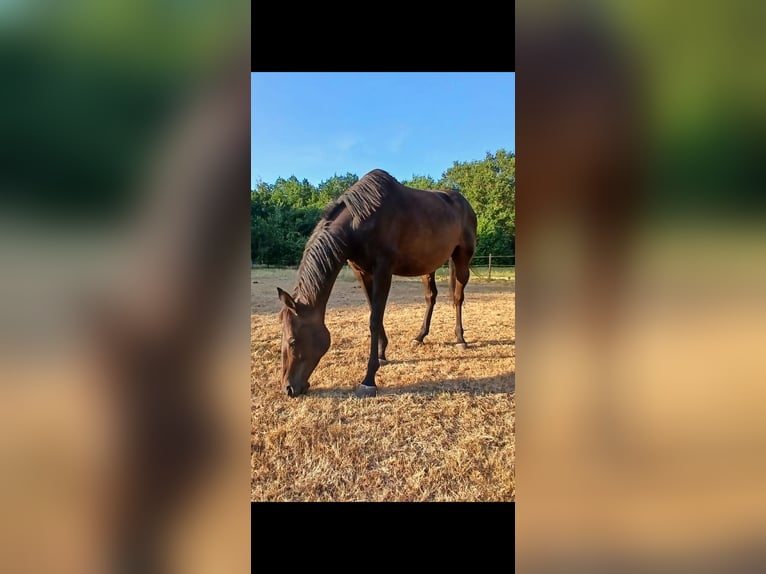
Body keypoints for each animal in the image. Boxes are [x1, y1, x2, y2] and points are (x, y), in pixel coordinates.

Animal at [277, 169, 478, 398]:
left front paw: (369, 379)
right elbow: (374, 311)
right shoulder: (361, 272)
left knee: (458, 297)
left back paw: (460, 339)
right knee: (431, 297)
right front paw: (382, 354)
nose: (288, 388)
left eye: (292, 341)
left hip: (462, 258)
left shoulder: (384, 270)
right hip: (429, 266)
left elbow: (374, 319)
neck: (362, 220)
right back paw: (419, 337)